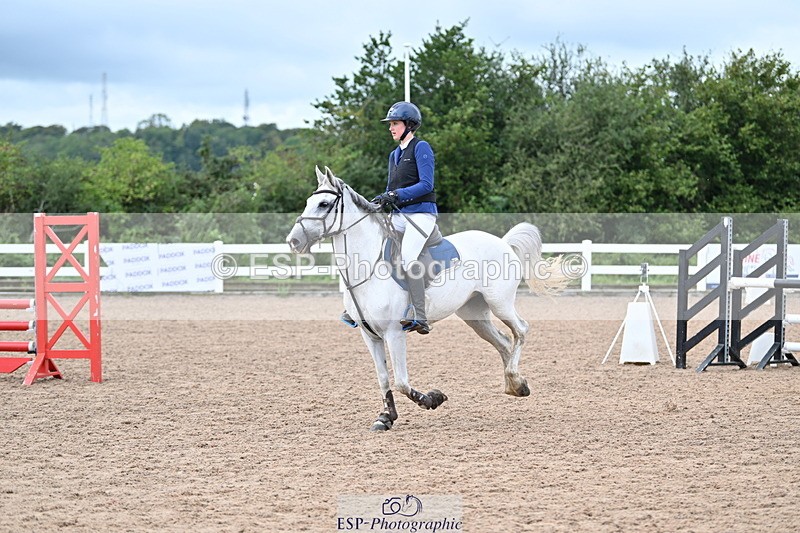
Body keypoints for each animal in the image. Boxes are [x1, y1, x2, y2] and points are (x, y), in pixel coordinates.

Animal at [286, 166, 567, 431]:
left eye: (324, 204)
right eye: (308, 202)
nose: (293, 241)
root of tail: (503, 242)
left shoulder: (394, 333)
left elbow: (401, 382)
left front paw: (433, 399)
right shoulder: (370, 335)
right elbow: (383, 378)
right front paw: (385, 418)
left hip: (500, 304)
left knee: (521, 330)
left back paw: (515, 380)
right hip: (474, 314)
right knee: (503, 341)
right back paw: (515, 384)